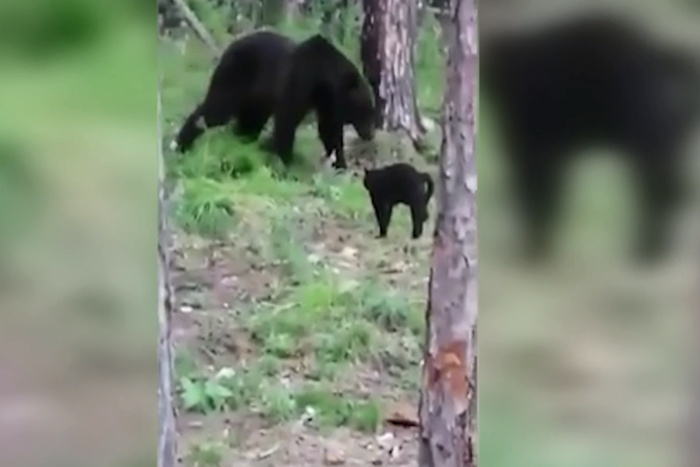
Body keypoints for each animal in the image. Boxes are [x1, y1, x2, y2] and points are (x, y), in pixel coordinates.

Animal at [270, 34, 374, 170]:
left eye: (371, 110)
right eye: (364, 111)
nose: (370, 135)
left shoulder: (326, 102)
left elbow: (327, 128)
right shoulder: (303, 81)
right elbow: (288, 116)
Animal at [482, 13, 700, 264]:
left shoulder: (534, 146)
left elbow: (537, 194)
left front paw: (535, 248)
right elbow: (546, 194)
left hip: (651, 140)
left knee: (660, 192)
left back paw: (646, 250)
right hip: (665, 144)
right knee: (671, 190)